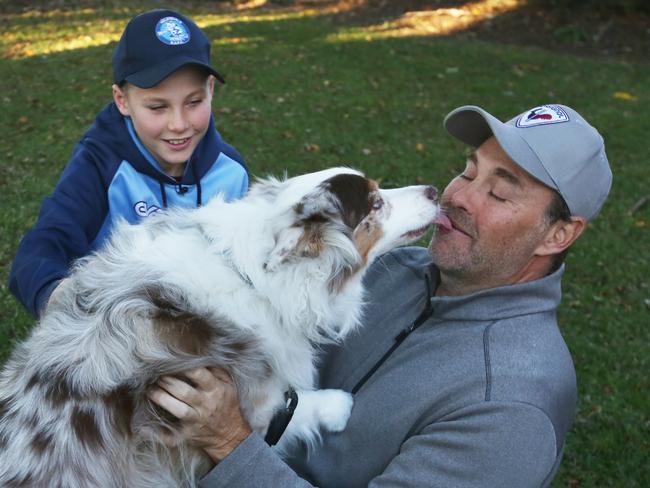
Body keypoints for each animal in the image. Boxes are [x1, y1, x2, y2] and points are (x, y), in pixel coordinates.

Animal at [0, 167, 442, 484]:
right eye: (375, 204)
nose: (434, 190)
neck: (254, 276)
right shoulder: (249, 402)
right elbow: (293, 407)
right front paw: (338, 406)